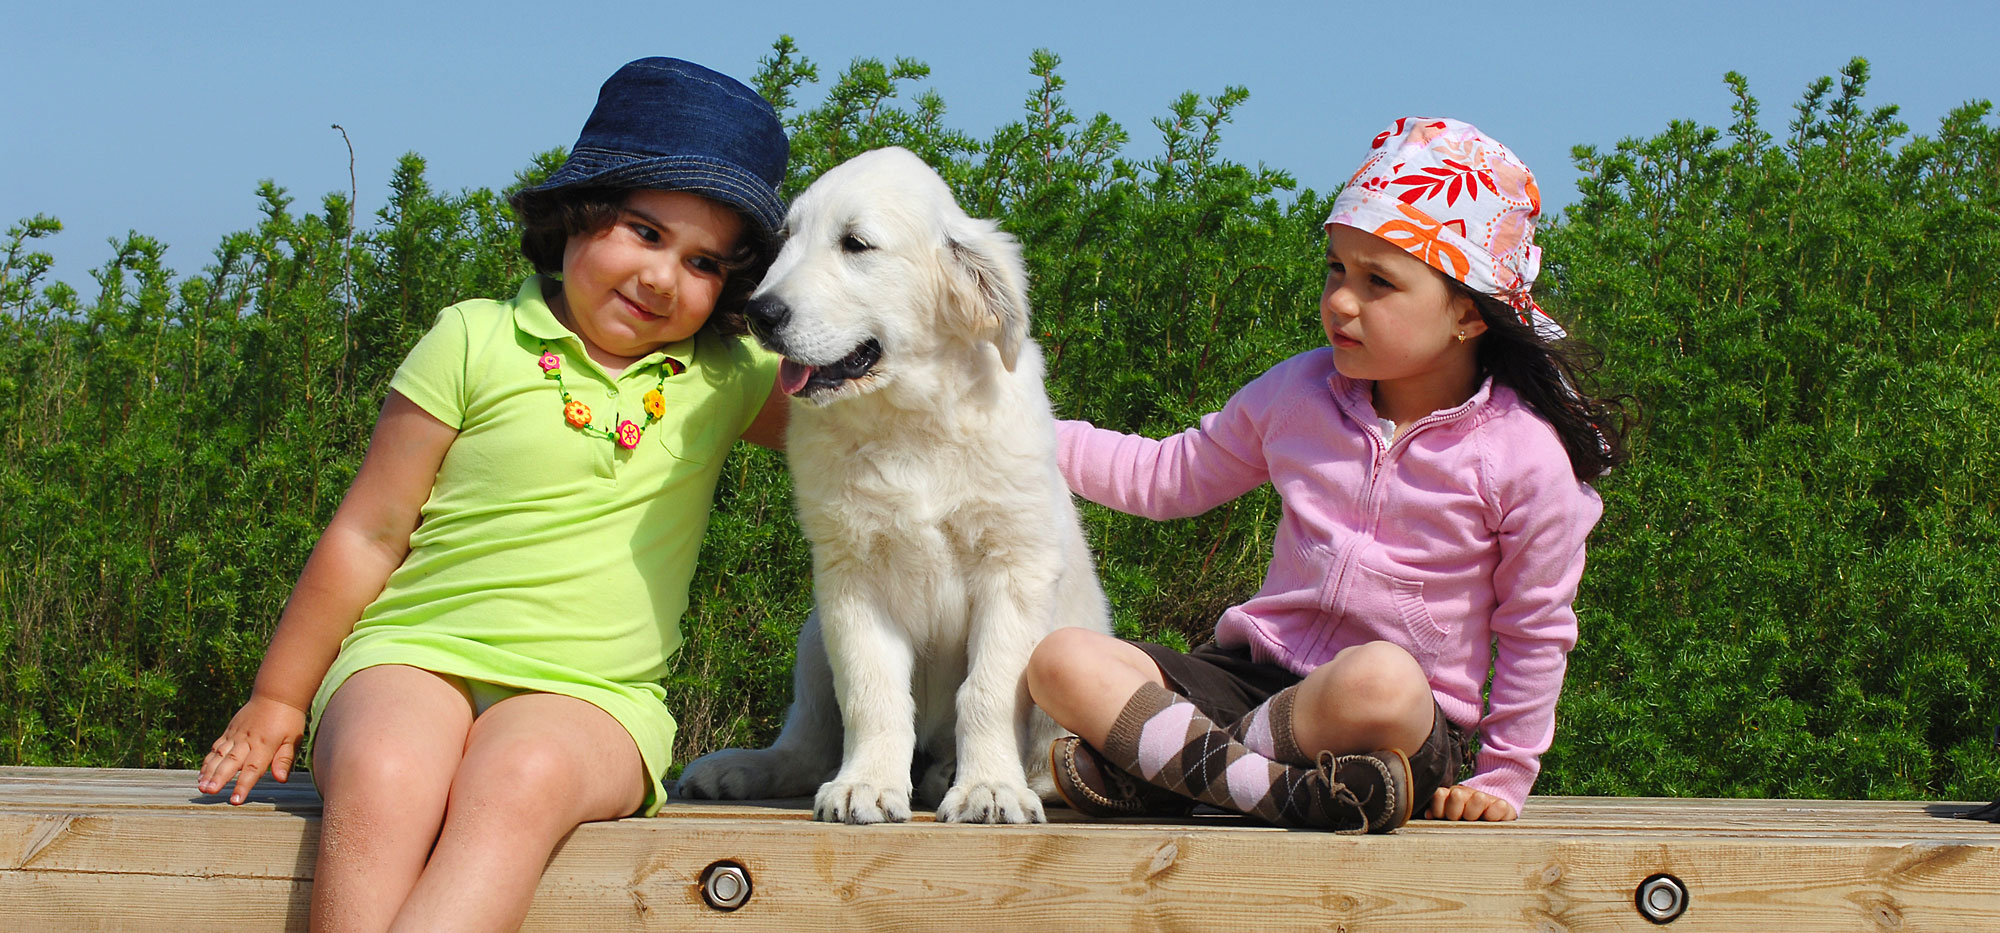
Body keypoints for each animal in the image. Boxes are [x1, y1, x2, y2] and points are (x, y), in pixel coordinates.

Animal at [676, 146, 1112, 824]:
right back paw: (742, 769)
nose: (759, 313)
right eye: (786, 239)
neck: (908, 422)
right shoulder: (851, 575)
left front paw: (989, 787)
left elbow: (986, 690)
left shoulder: (1013, 569)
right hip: (813, 636)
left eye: (856, 244)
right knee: (807, 741)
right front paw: (868, 784)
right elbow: (871, 691)